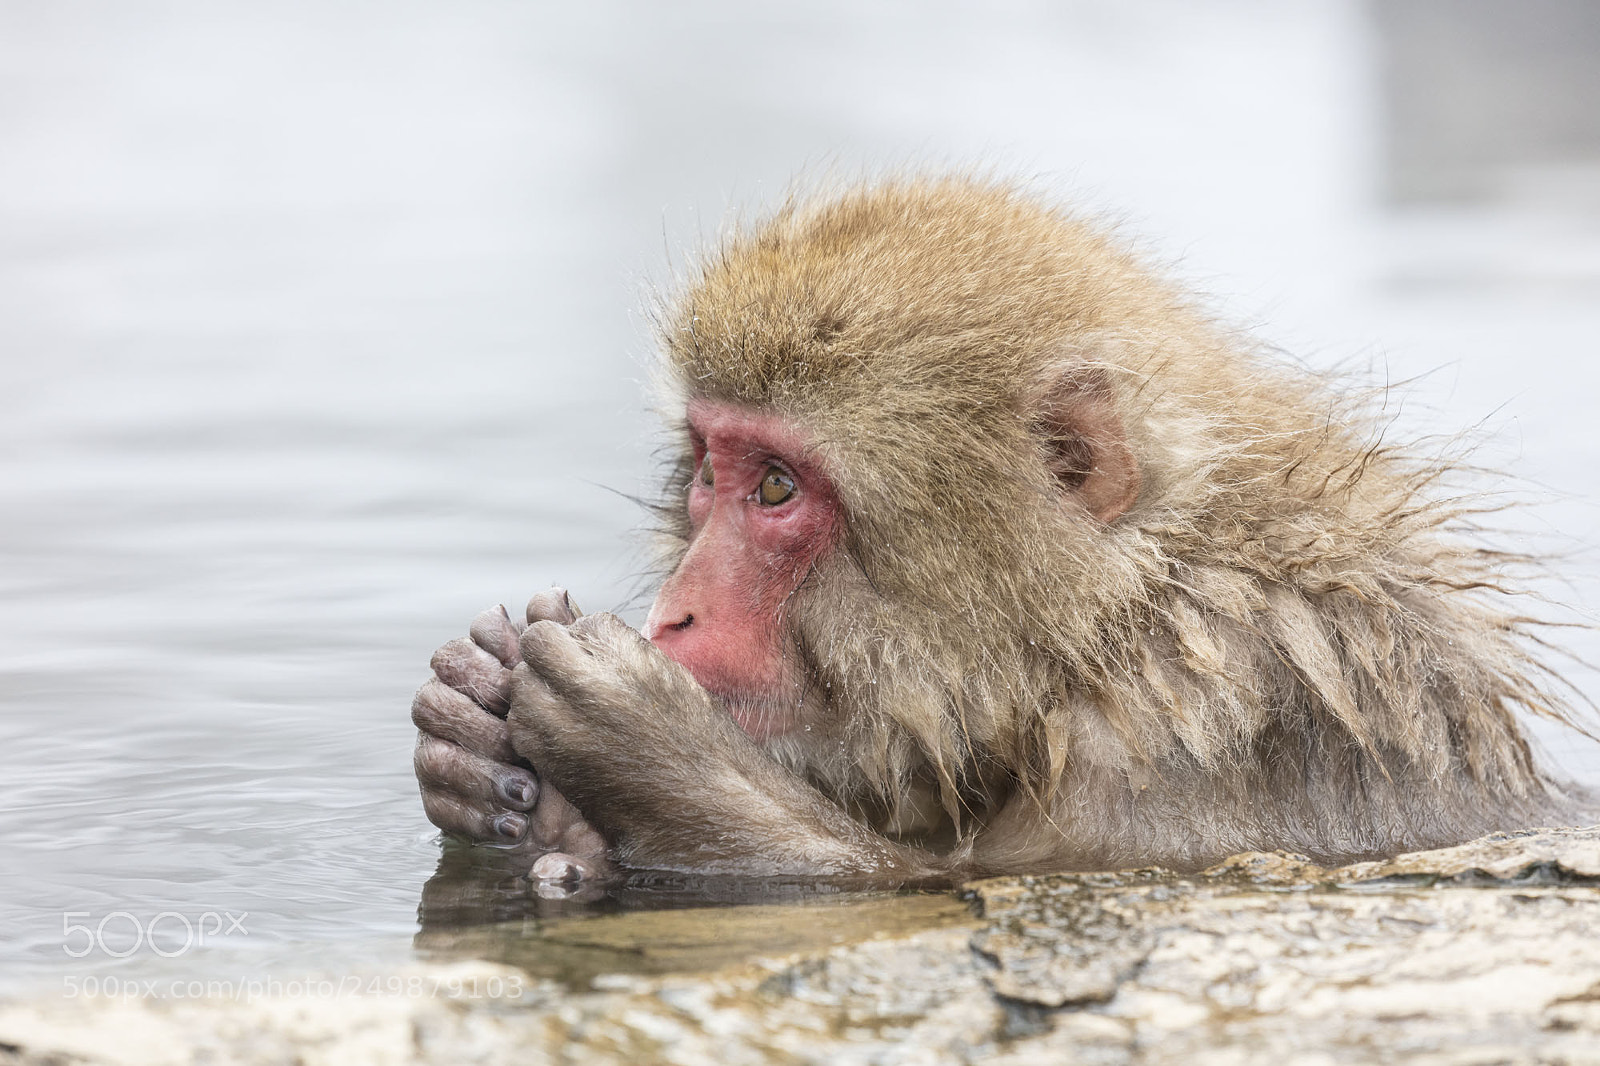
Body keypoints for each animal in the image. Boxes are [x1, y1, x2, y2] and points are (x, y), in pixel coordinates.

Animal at [411, 176, 1591, 886]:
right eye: (712, 470)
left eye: (779, 489)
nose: (675, 612)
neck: (1110, 632)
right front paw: (491, 756)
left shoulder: (1193, 740)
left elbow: (918, 883)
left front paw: (652, 750)